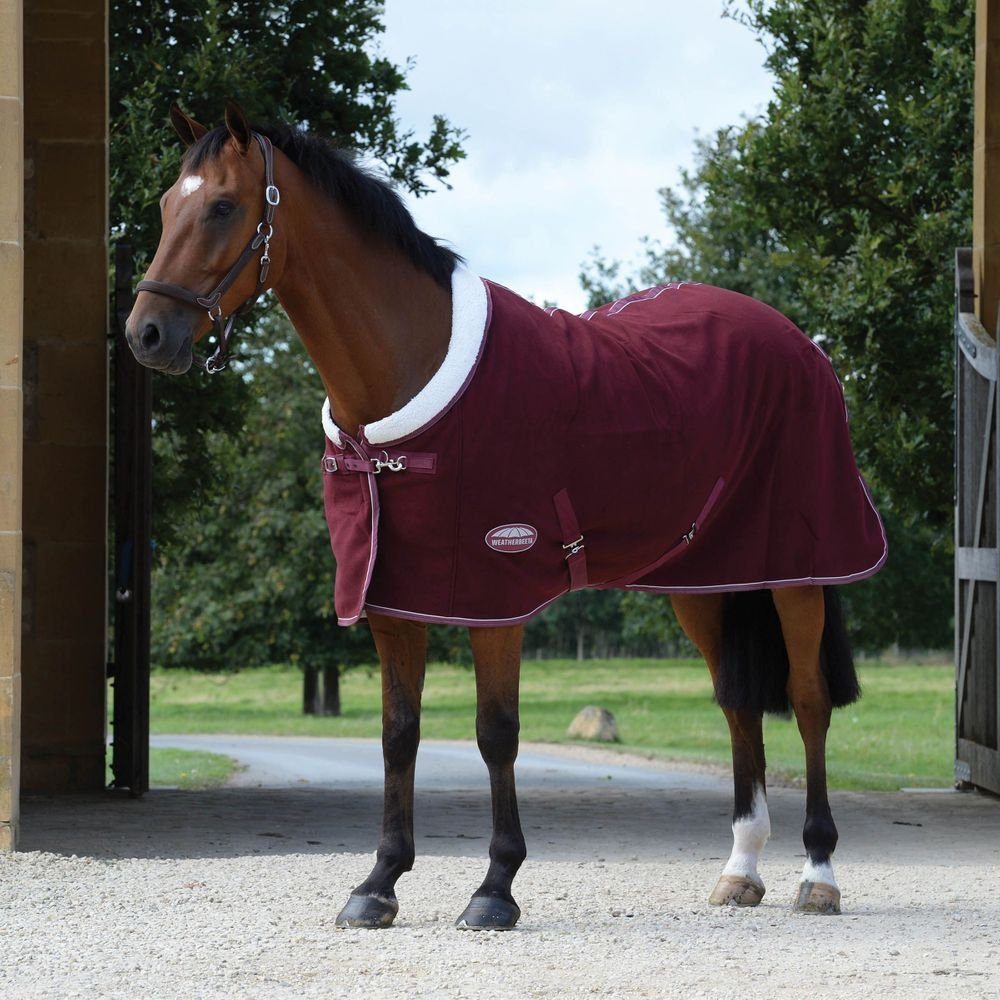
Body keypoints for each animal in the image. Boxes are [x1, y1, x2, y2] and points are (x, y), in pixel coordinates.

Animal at [124, 100, 887, 930]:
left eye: (223, 207)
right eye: (164, 205)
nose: (146, 334)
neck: (408, 379)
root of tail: (799, 343)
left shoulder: (496, 597)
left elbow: (495, 734)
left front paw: (495, 887)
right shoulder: (393, 599)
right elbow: (398, 735)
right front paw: (378, 883)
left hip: (797, 573)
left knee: (809, 703)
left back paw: (818, 873)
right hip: (706, 582)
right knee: (738, 705)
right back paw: (740, 869)